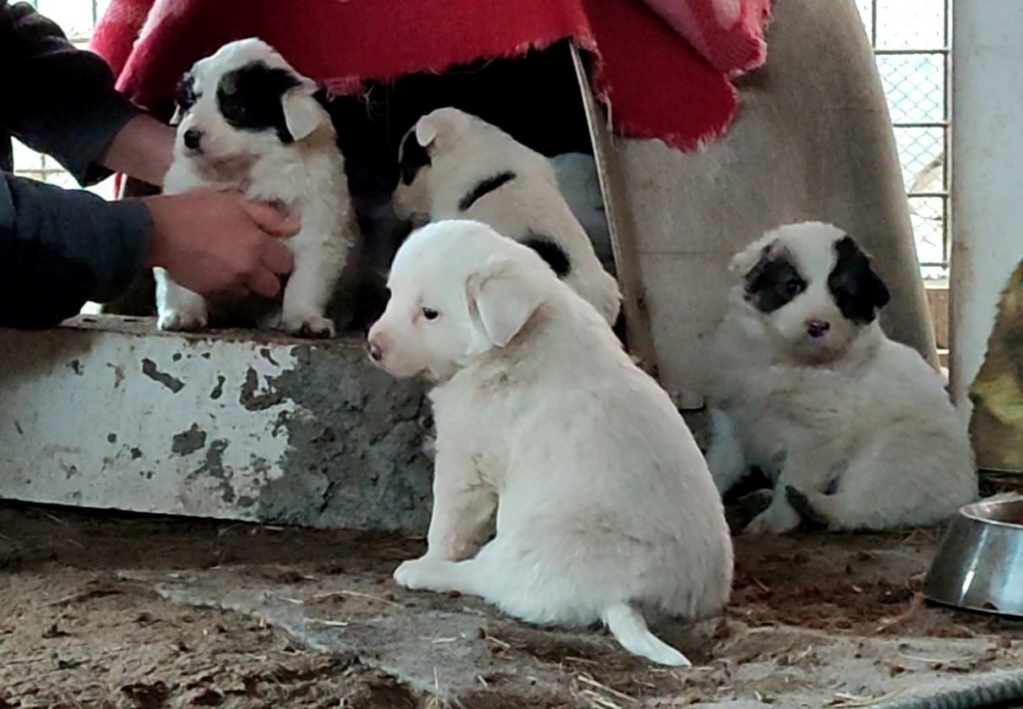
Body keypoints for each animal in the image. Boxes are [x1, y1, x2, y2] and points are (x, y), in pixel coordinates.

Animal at [153, 37, 358, 335]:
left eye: (237, 107)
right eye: (190, 102)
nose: (189, 137)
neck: (244, 172)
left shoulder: (318, 226)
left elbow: (306, 280)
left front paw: (304, 319)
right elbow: (180, 278)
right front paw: (182, 314)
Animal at [368, 218, 736, 667]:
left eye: (429, 313)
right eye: (391, 295)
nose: (373, 347)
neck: (514, 339)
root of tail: (623, 597)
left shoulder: (466, 459)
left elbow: (448, 524)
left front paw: (430, 557)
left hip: (525, 549)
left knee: (481, 578)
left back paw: (422, 573)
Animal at [703, 219, 973, 532]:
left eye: (842, 296)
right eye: (792, 286)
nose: (817, 325)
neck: (788, 361)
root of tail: (964, 496)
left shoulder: (818, 435)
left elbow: (793, 476)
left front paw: (773, 521)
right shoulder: (732, 423)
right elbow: (717, 467)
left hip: (896, 453)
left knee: (865, 505)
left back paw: (814, 505)